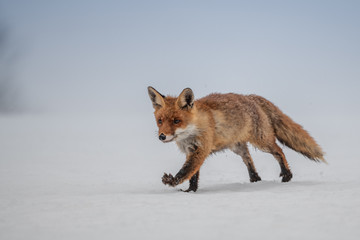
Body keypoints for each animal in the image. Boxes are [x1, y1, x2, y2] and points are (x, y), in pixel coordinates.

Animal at [147, 87, 326, 192]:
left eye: (176, 121)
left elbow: (186, 171)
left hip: (262, 142)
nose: (162, 136)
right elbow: (193, 175)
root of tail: (251, 97)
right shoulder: (190, 151)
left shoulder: (201, 150)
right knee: (249, 160)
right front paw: (191, 191)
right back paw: (255, 179)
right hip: (238, 147)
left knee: (279, 151)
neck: (191, 131)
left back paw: (287, 174)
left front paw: (172, 182)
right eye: (160, 121)